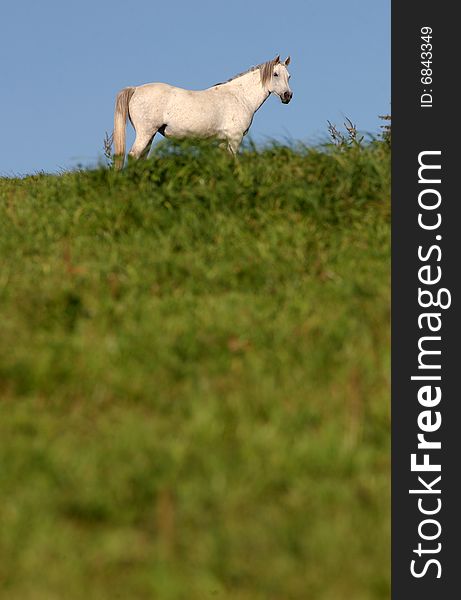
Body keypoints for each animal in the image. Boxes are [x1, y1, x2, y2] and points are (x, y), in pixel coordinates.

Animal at [112, 54, 292, 169]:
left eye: (289, 76)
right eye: (275, 74)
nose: (288, 96)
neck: (240, 97)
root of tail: (135, 89)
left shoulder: (222, 141)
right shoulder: (235, 138)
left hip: (150, 135)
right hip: (146, 132)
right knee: (133, 155)